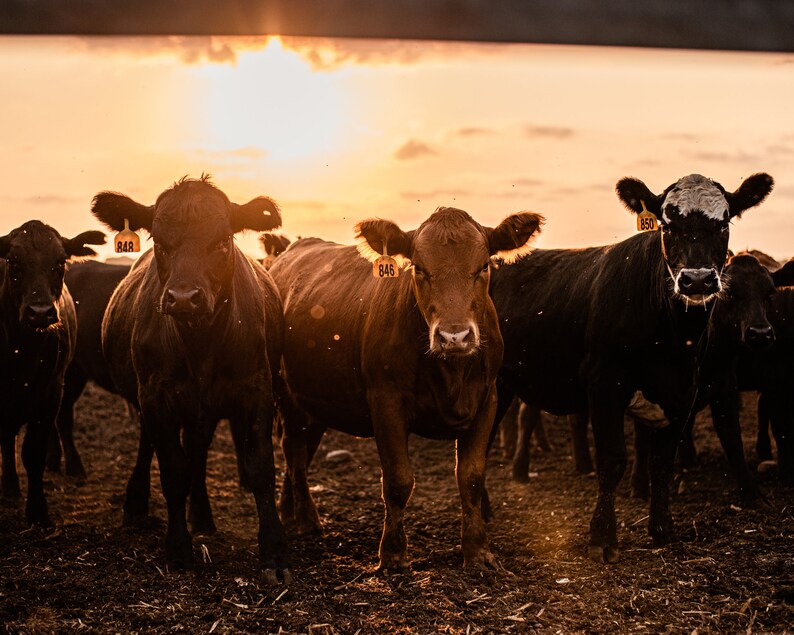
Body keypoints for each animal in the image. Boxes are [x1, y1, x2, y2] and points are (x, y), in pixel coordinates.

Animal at [0, 220, 104, 525]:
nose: (40, 312)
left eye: (60, 262)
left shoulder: (49, 394)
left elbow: (33, 453)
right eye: (13, 261)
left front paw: (37, 511)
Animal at [91, 176, 290, 581]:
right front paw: (178, 548)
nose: (184, 298)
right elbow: (173, 470)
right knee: (150, 446)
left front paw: (275, 551)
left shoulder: (257, 391)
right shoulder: (155, 397)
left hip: (204, 409)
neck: (200, 344)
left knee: (197, 450)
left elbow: (261, 467)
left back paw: (202, 516)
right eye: (158, 241)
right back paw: (136, 505)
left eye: (223, 240)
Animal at [270, 206, 543, 571]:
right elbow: (398, 480)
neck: (450, 373)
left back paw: (289, 512)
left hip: (314, 402)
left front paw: (477, 551)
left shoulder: (487, 401)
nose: (454, 337)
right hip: (286, 393)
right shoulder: (386, 403)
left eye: (484, 266)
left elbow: (471, 478)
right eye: (419, 268)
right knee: (294, 451)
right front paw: (393, 554)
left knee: (301, 449)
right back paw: (307, 520)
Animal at [489, 172, 774, 563]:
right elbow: (612, 460)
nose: (697, 280)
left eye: (724, 222)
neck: (670, 337)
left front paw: (662, 530)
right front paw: (603, 537)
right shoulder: (604, 383)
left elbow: (662, 462)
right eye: (668, 226)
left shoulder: (683, 391)